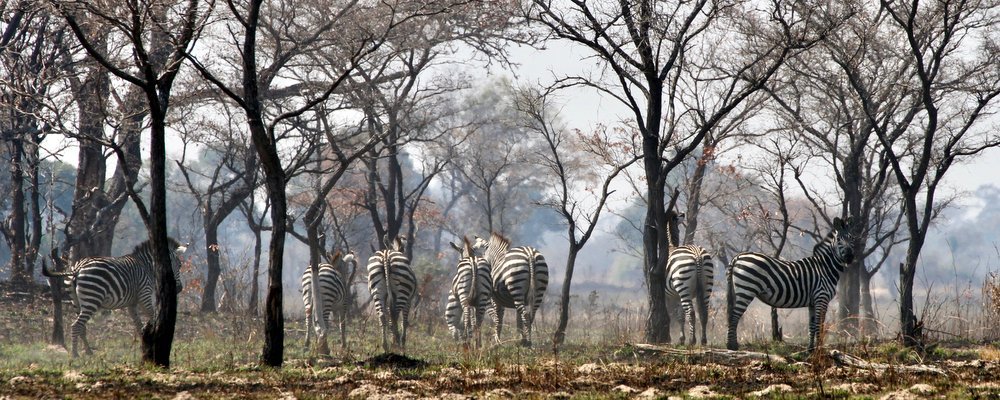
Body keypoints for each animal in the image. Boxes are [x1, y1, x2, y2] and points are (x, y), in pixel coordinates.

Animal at [40, 238, 188, 356]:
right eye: (180, 265)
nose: (179, 289)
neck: (147, 267)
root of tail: (77, 269)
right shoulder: (144, 295)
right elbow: (153, 317)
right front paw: (157, 342)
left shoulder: (132, 304)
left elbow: (139, 326)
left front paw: (144, 347)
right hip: (92, 298)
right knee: (76, 325)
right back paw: (75, 354)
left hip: (76, 301)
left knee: (82, 327)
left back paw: (88, 352)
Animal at [724, 217, 856, 352]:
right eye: (839, 239)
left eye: (852, 238)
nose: (849, 257)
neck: (825, 267)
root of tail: (738, 257)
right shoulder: (821, 297)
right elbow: (820, 325)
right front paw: (820, 350)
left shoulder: (813, 302)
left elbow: (812, 325)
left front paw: (811, 349)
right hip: (746, 290)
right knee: (734, 316)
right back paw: (732, 346)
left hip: (739, 290)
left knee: (731, 315)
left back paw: (731, 345)